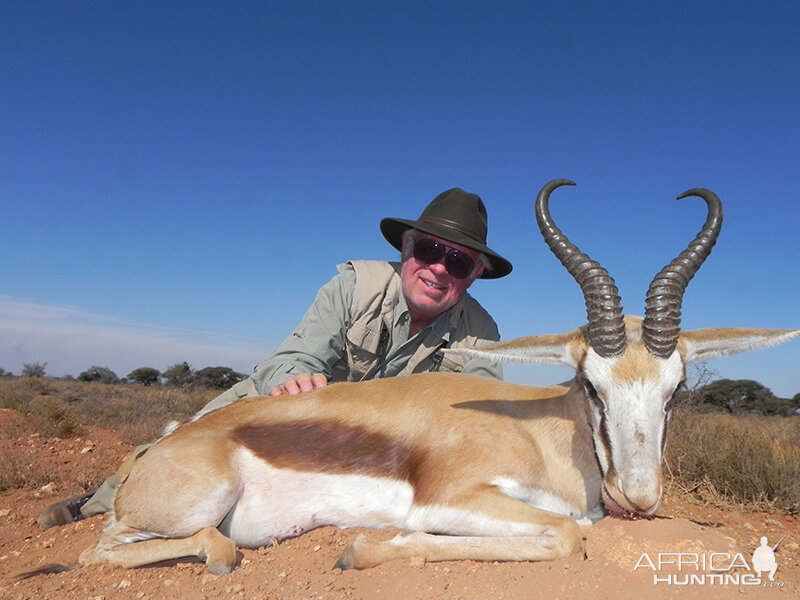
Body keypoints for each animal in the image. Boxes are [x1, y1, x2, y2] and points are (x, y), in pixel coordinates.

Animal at [72, 179, 796, 572]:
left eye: (676, 391)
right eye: (592, 385)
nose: (640, 501)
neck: (538, 432)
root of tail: (157, 448)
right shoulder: (451, 497)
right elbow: (566, 533)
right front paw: (358, 549)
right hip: (198, 503)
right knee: (102, 551)